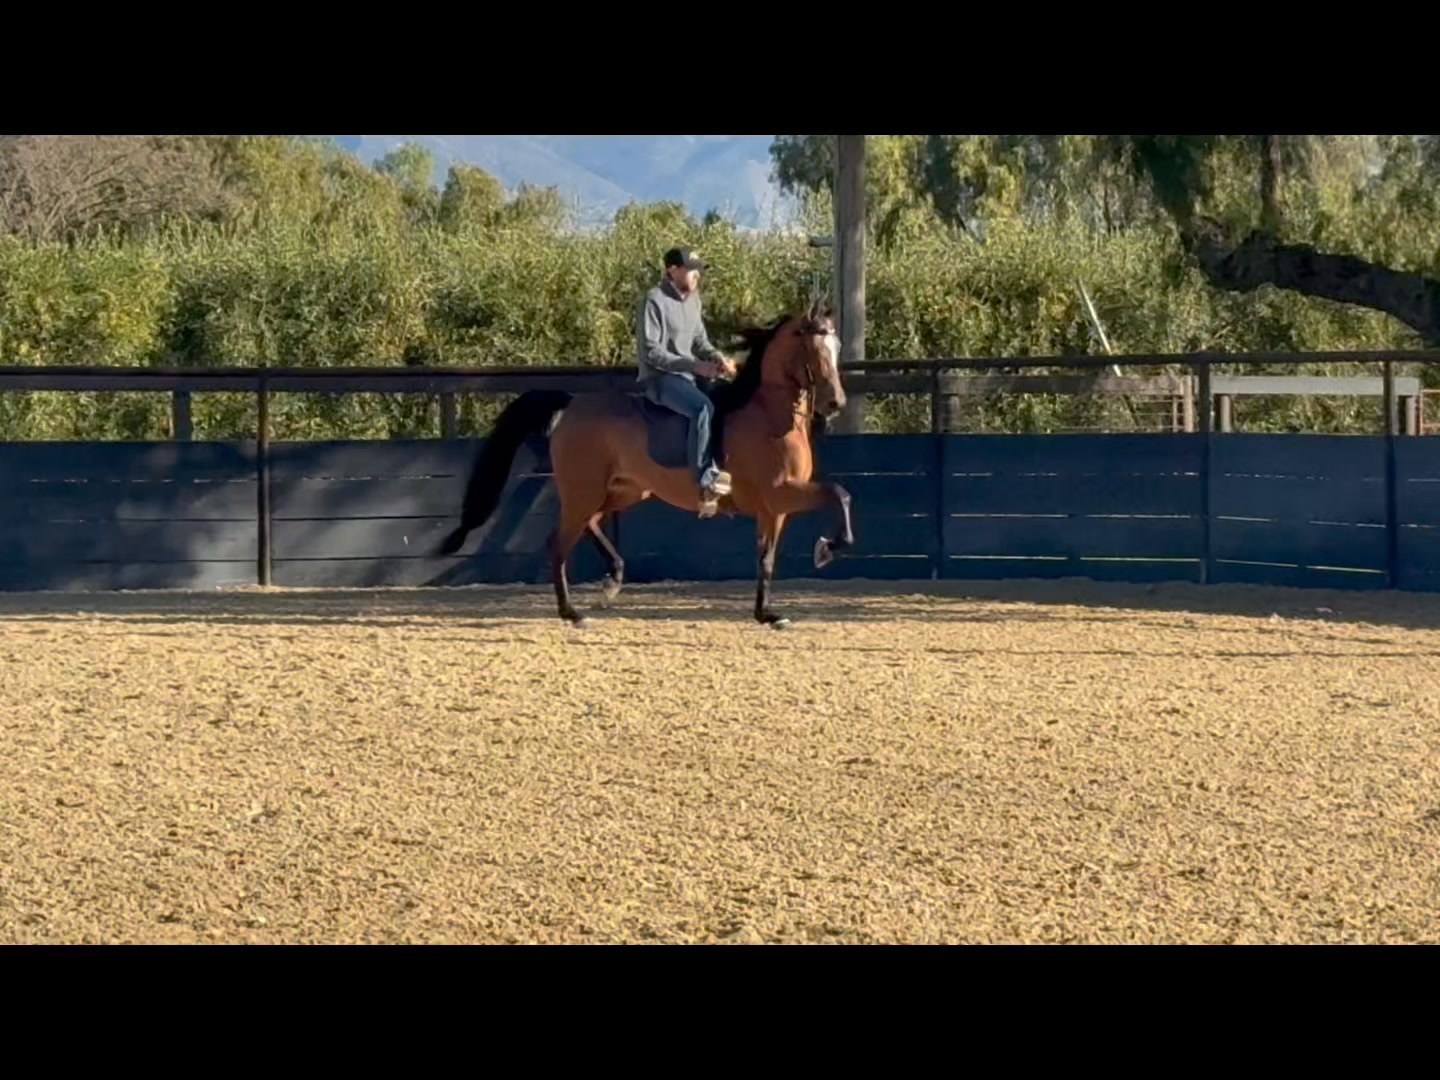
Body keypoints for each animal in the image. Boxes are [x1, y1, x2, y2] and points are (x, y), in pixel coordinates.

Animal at [436, 300, 856, 627]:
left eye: (836, 346)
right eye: (815, 349)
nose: (836, 402)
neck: (769, 415)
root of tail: (572, 403)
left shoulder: (774, 509)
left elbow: (766, 559)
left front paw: (767, 614)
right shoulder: (780, 493)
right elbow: (840, 493)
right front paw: (827, 549)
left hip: (623, 491)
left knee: (588, 526)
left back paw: (612, 582)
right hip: (583, 491)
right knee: (558, 543)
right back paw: (572, 612)